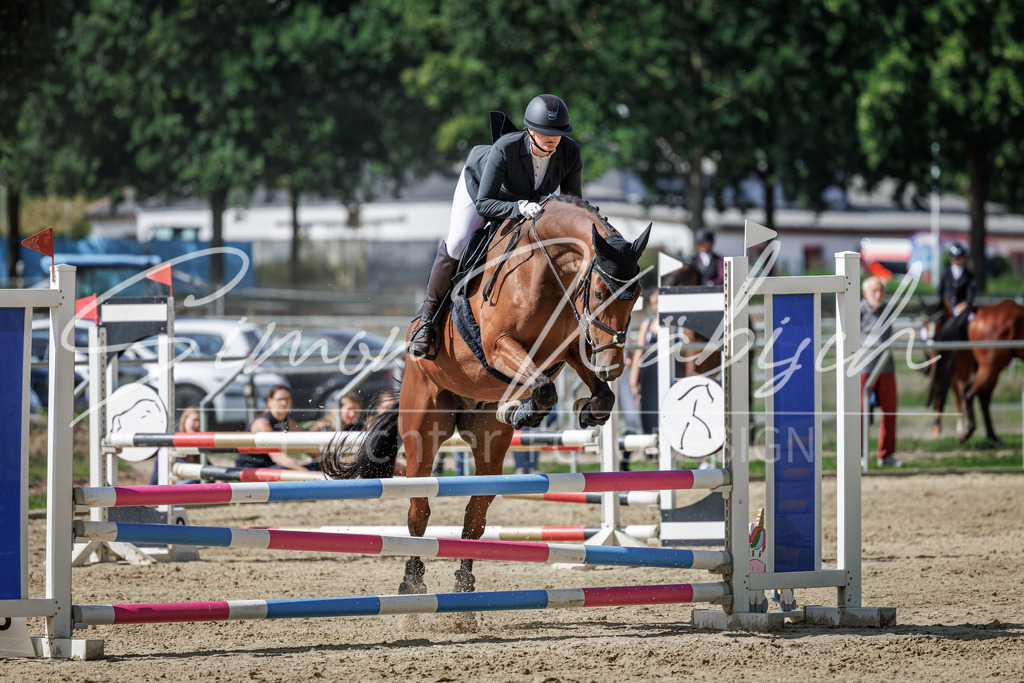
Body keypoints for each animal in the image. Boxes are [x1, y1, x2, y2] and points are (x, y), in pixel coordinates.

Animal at [321, 195, 650, 594]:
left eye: (635, 298)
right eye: (600, 293)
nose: (611, 367)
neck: (546, 273)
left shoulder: (567, 348)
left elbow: (596, 396)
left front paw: (584, 410)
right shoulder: (498, 346)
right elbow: (543, 388)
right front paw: (521, 411)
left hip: (488, 445)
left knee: (475, 514)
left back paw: (464, 585)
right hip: (422, 432)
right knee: (419, 510)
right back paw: (412, 582)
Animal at [927, 300, 1024, 444]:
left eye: (939, 320)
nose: (931, 346)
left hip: (991, 370)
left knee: (980, 396)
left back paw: (989, 436)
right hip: (991, 367)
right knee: (970, 392)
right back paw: (969, 432)